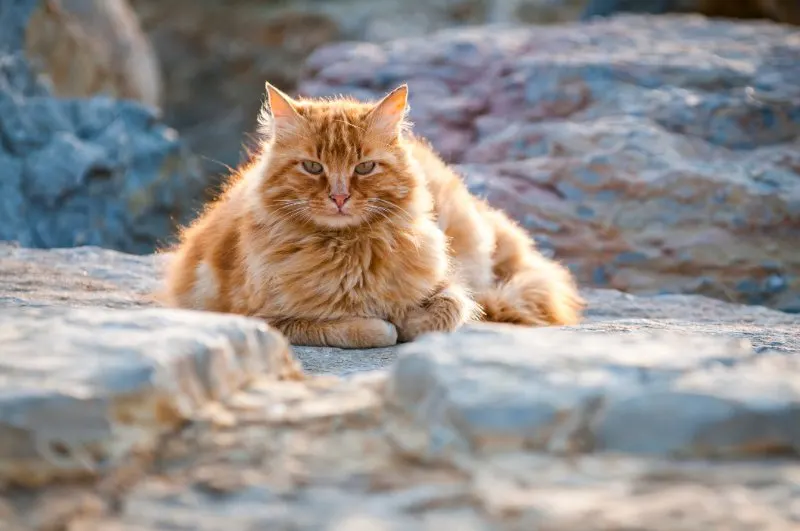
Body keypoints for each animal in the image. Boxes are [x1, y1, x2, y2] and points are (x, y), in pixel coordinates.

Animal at [161, 83, 588, 350]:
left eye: (364, 168)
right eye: (313, 167)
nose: (339, 197)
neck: (349, 253)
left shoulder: (446, 284)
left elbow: (449, 308)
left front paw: (412, 321)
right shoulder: (256, 317)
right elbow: (364, 330)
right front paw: (383, 324)